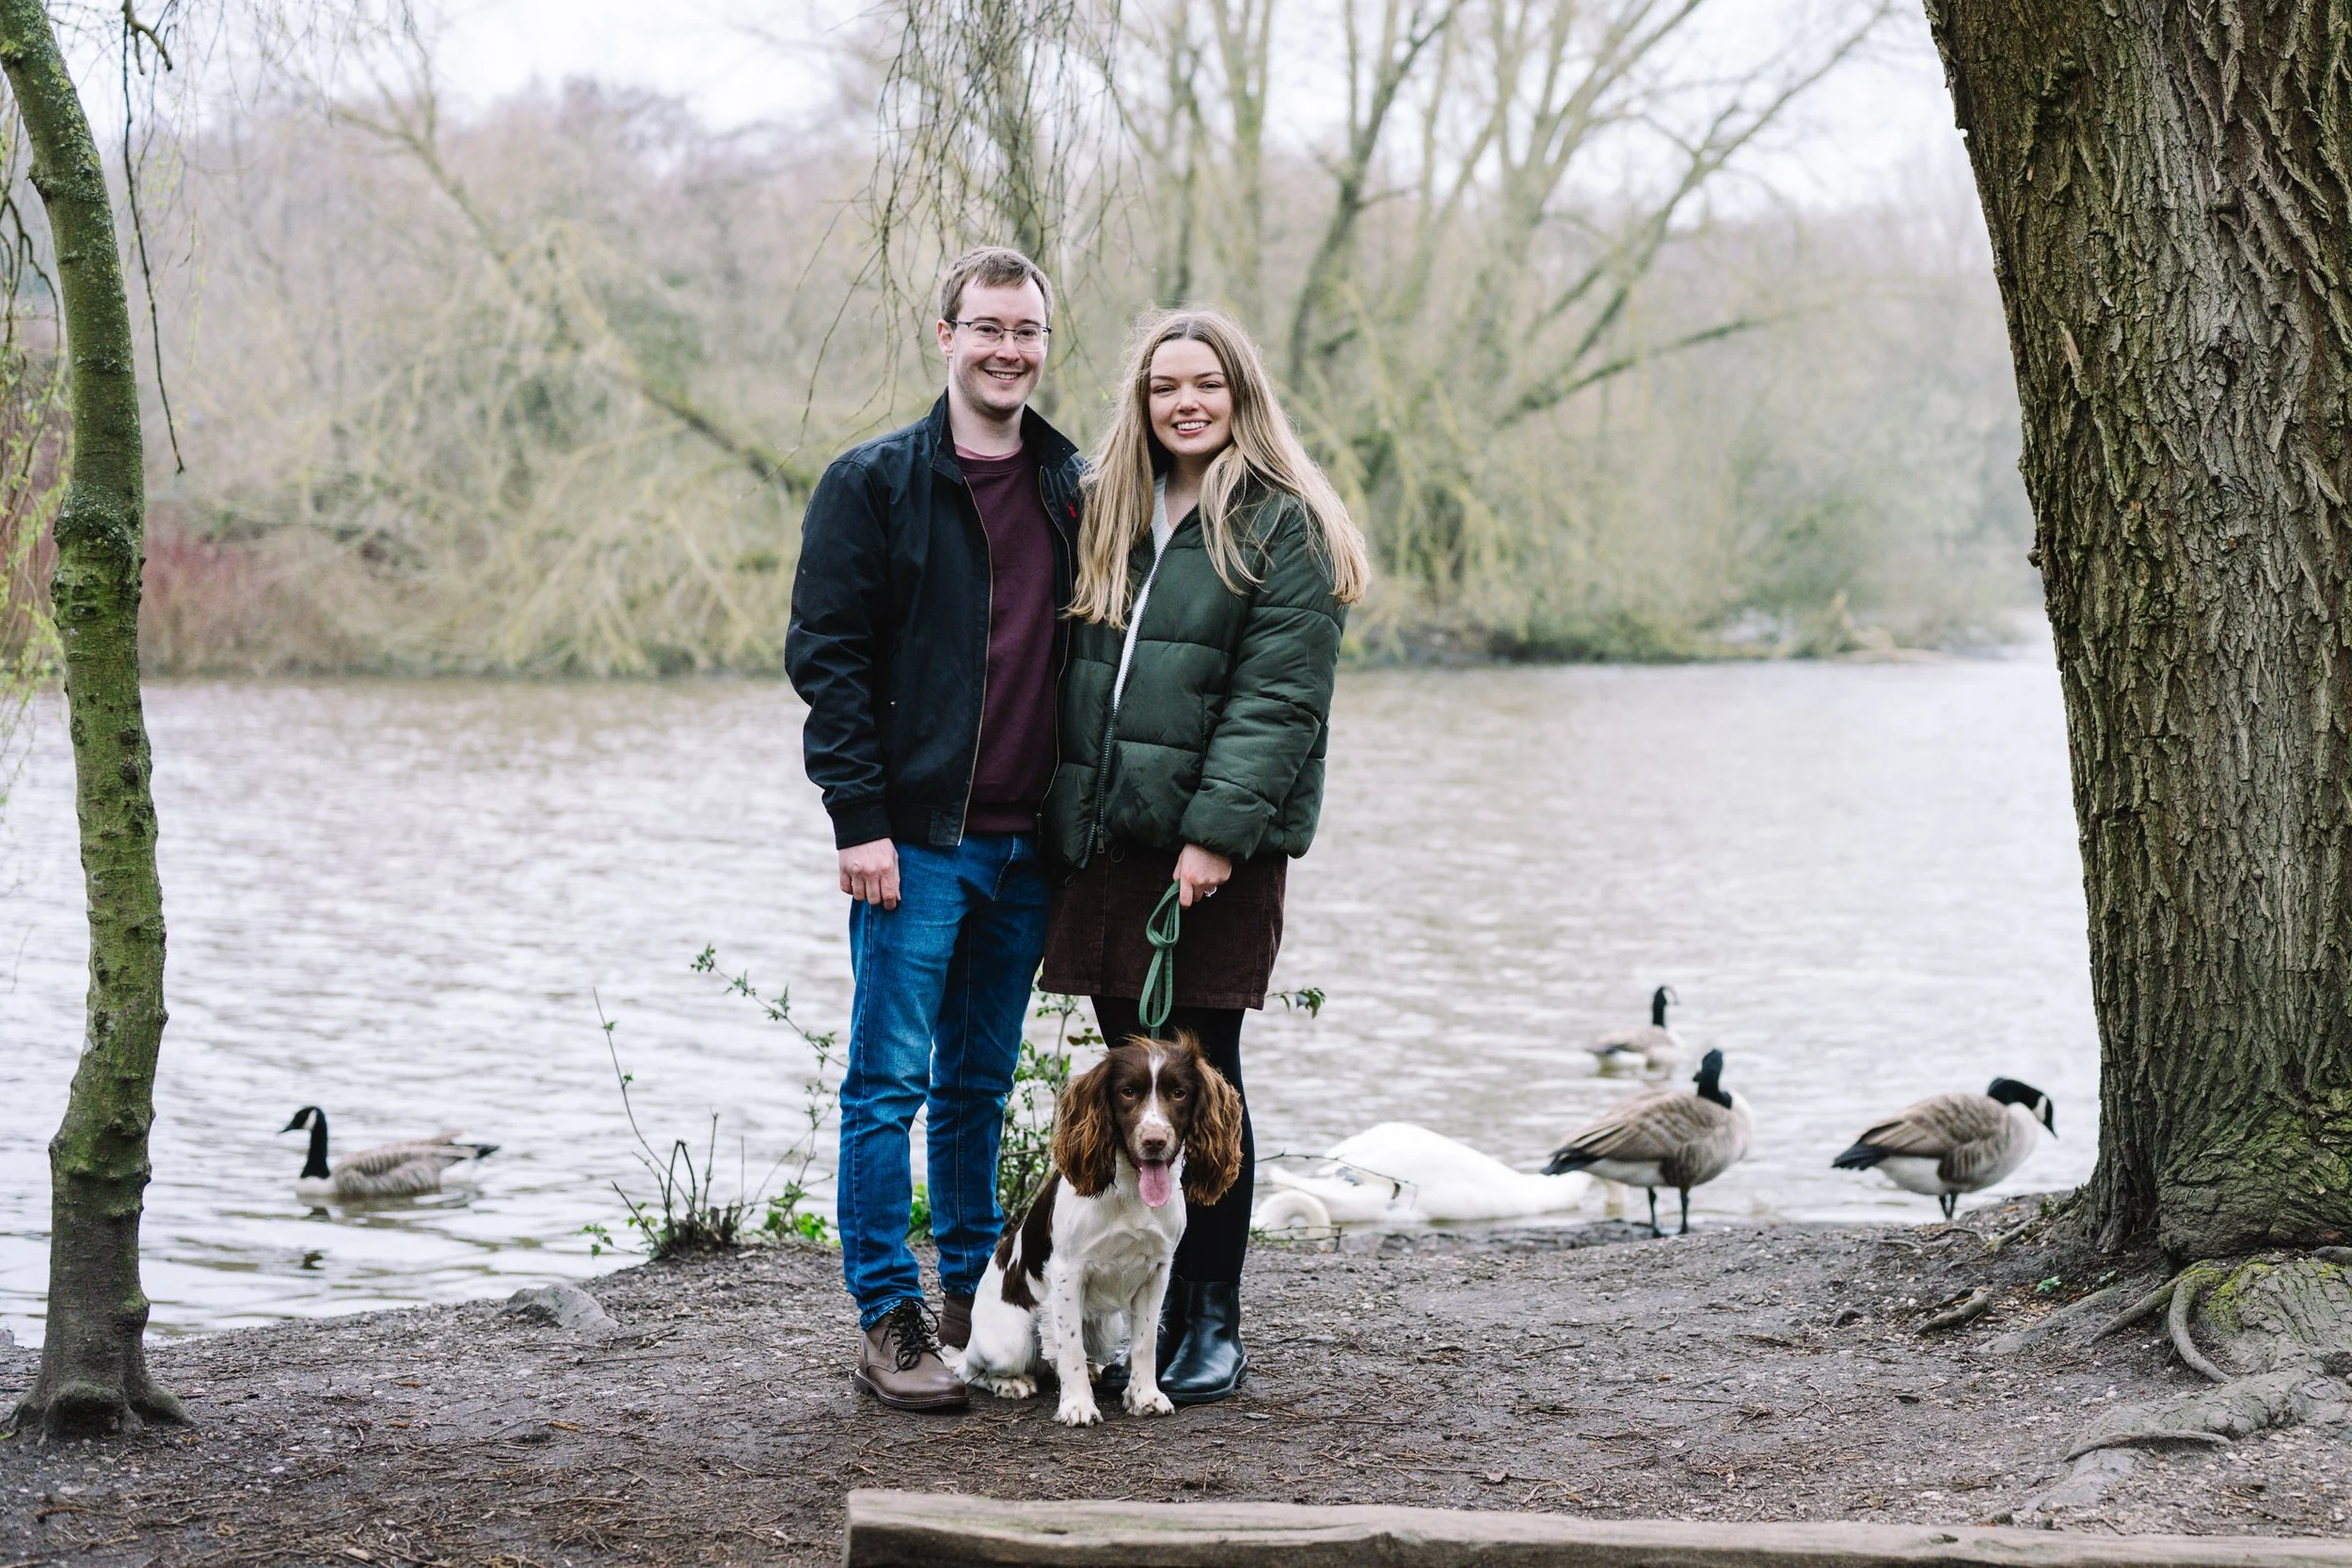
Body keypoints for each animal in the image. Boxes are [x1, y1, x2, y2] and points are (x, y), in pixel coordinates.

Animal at [951, 1031, 1243, 1425]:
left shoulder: (1157, 1271)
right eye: (1128, 1092)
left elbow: (1146, 1341)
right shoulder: (1068, 1271)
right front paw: (1077, 1405)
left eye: (1179, 1092)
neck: (1131, 1189)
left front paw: (1145, 1396)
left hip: (1107, 1325)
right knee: (974, 1370)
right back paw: (1012, 1383)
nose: (1154, 1141)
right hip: (1009, 1341)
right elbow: (1070, 1344)